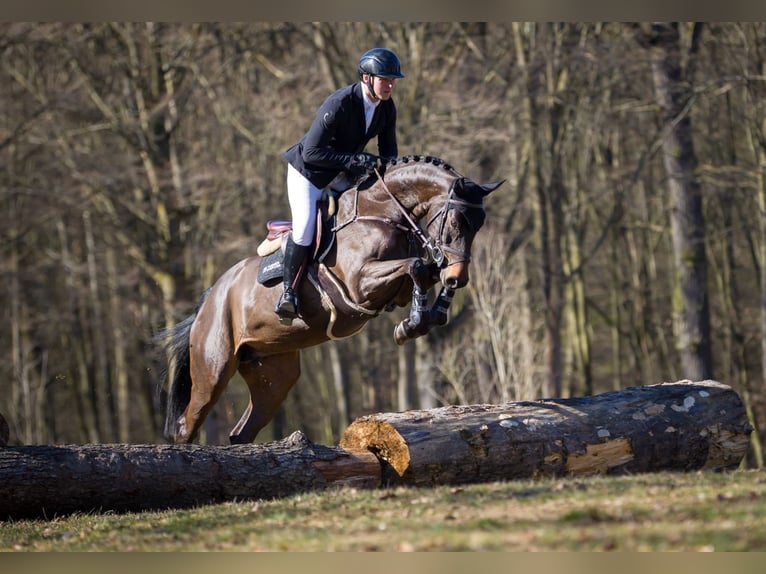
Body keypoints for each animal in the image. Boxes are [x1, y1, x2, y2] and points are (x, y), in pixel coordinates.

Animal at [156, 155, 504, 444]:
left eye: (479, 225)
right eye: (456, 220)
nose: (460, 276)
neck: (381, 212)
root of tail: (208, 300)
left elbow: (426, 271)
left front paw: (428, 316)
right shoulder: (359, 285)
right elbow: (418, 266)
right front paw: (413, 324)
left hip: (273, 373)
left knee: (242, 431)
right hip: (214, 368)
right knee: (187, 425)